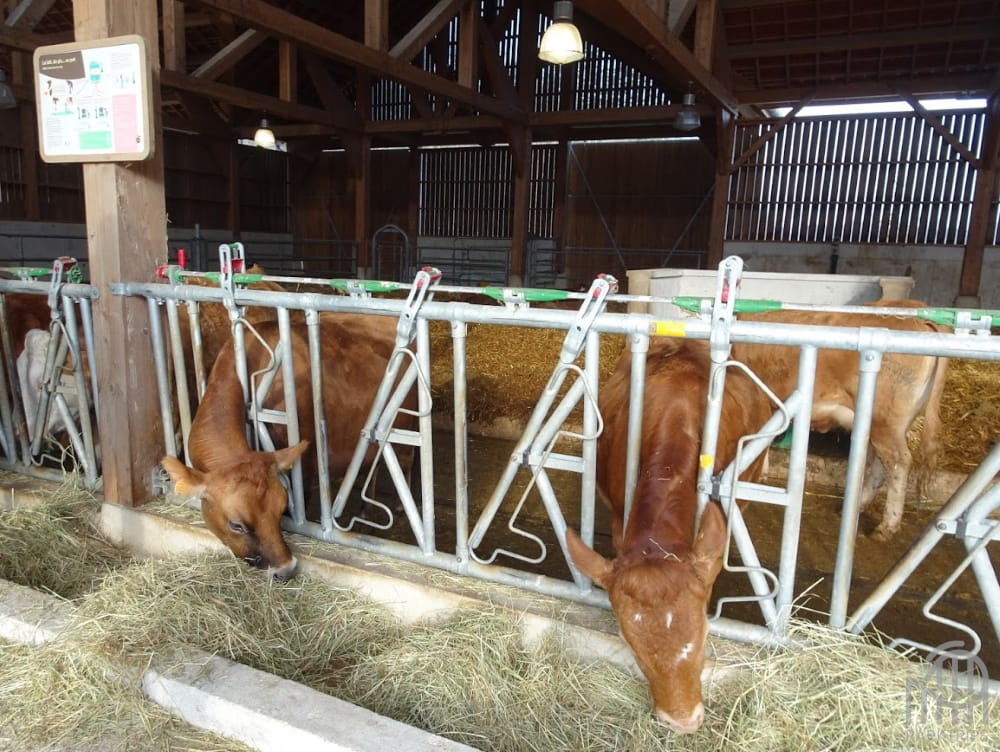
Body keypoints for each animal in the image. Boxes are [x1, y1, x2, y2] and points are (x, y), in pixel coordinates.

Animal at [160, 312, 415, 580]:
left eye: (280, 510)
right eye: (236, 525)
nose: (286, 568)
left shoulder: (307, 459)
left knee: (407, 459)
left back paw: (400, 506)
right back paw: (366, 510)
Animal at [730, 302, 949, 540]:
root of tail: (919, 315)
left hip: (886, 423)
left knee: (899, 462)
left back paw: (887, 526)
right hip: (885, 425)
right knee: (882, 465)